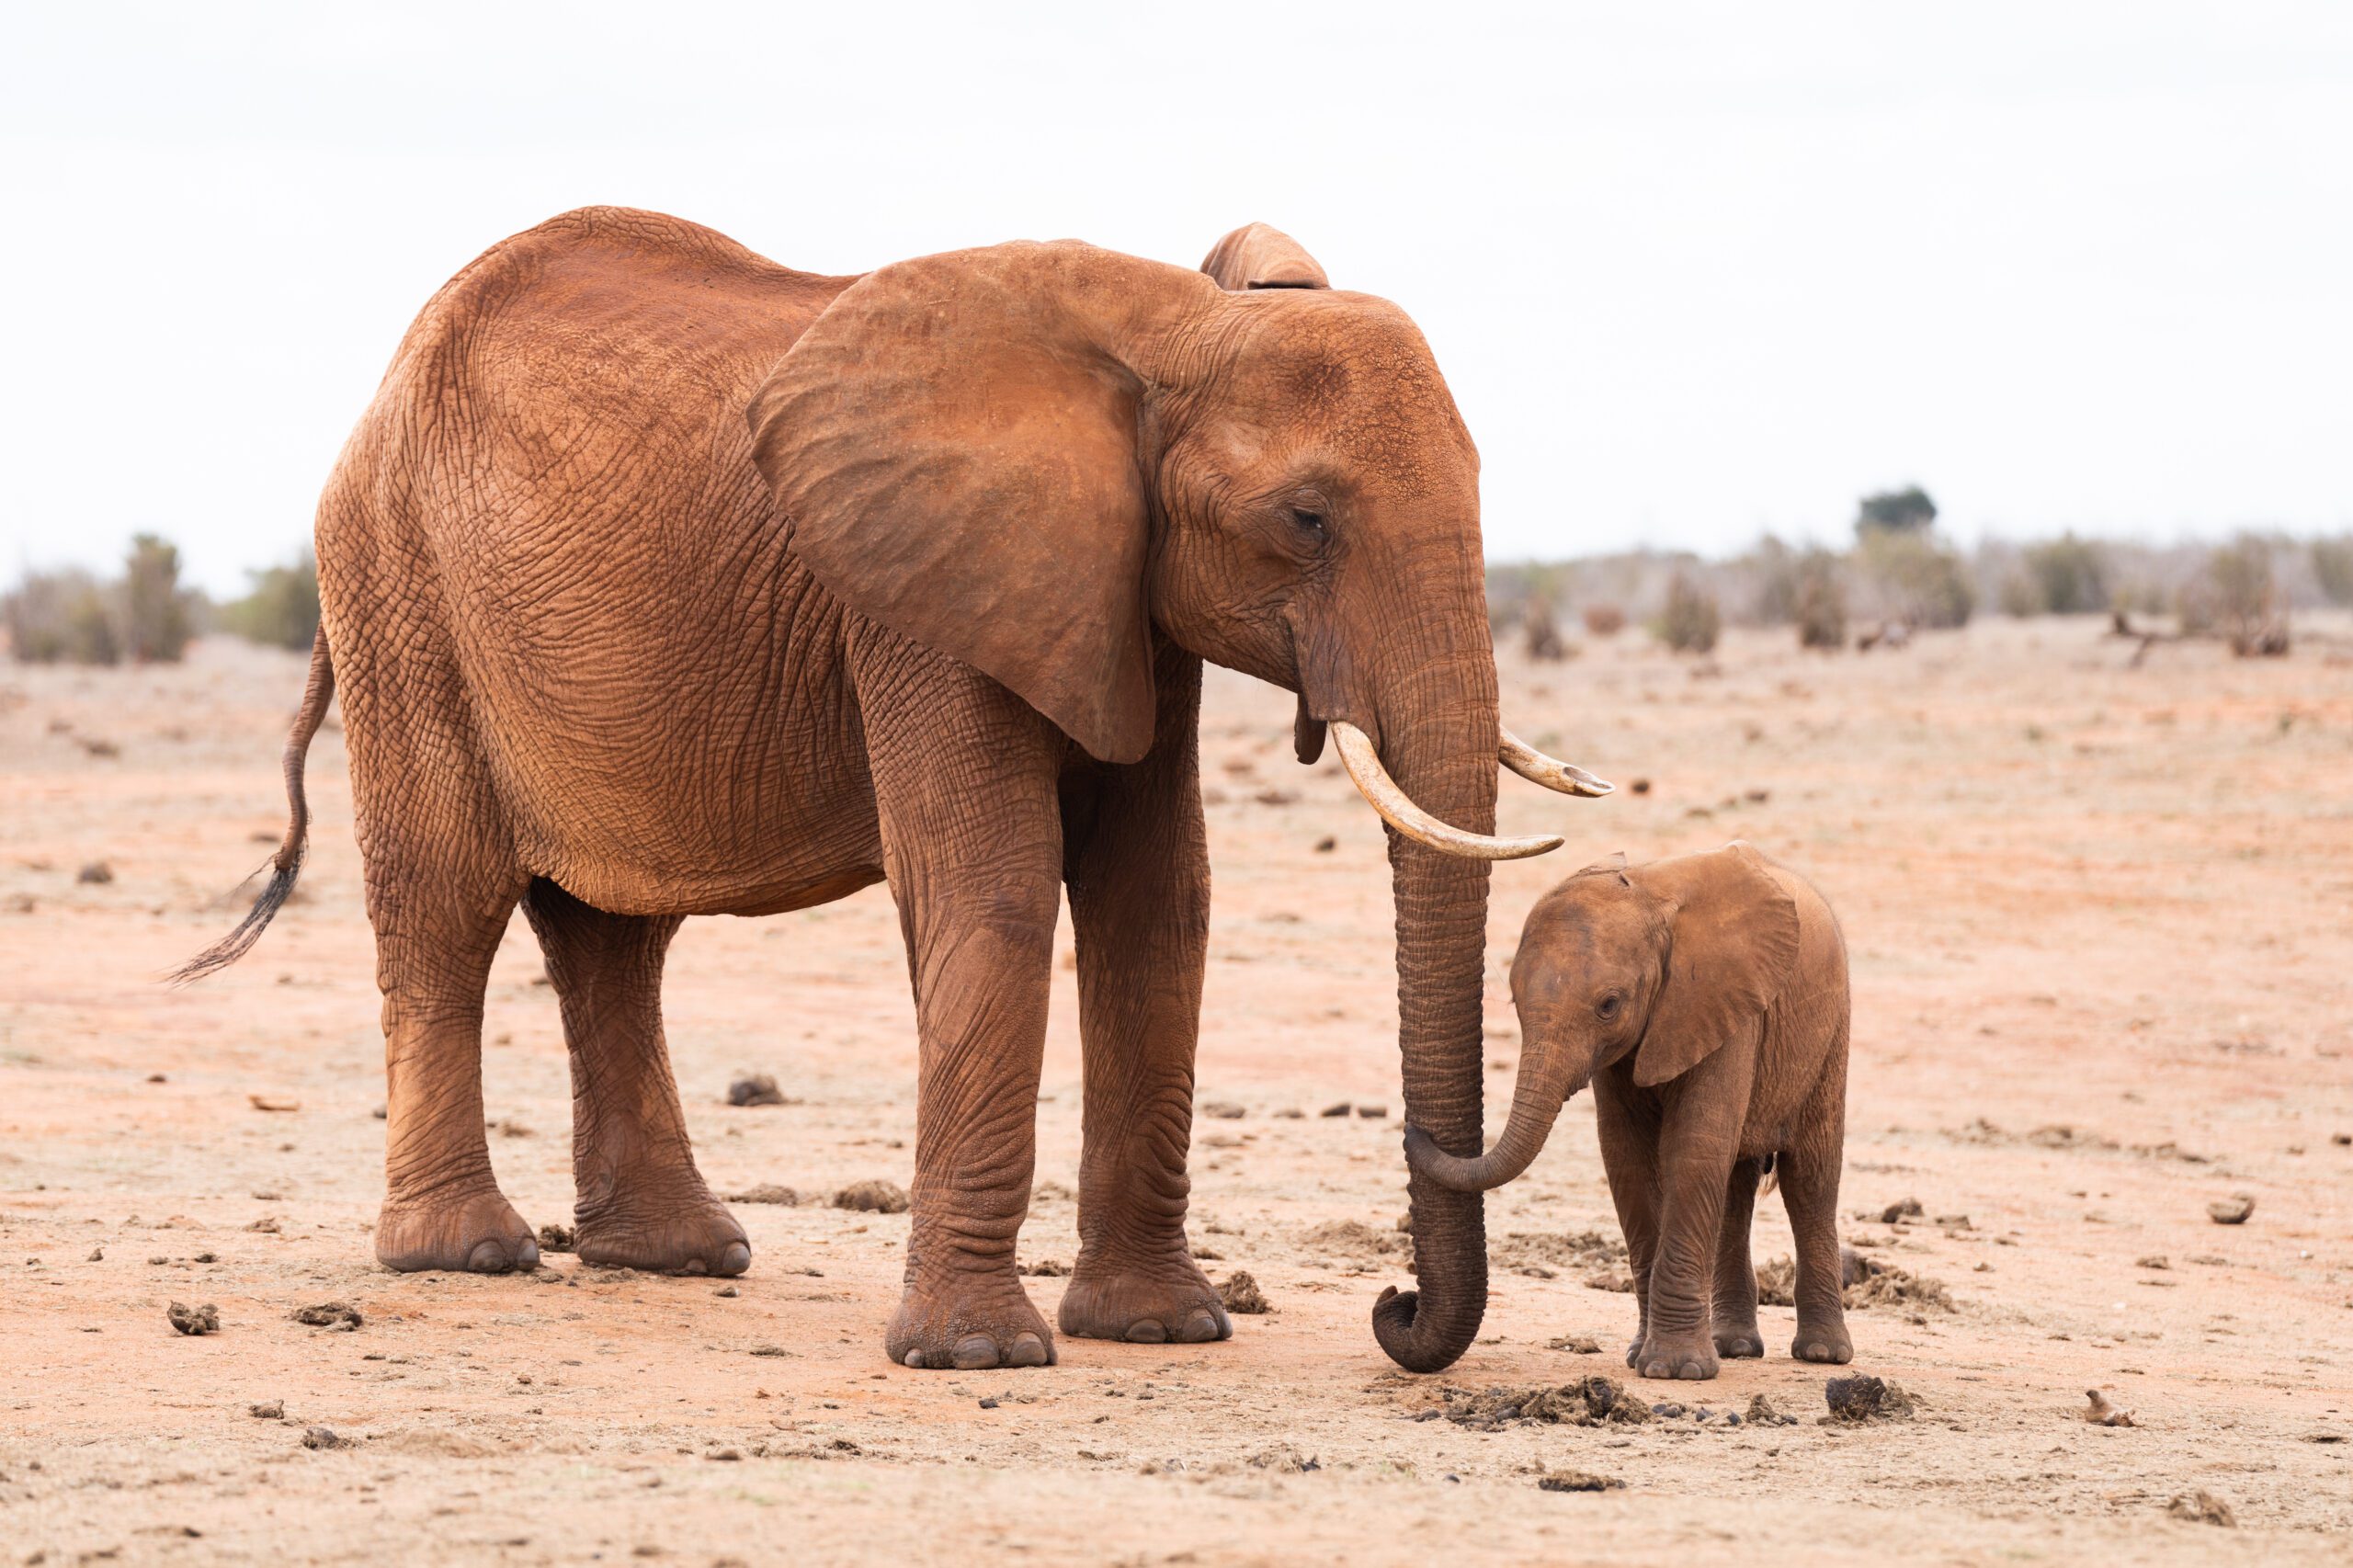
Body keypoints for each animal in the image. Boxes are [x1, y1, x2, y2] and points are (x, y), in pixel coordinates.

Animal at [178, 207, 1611, 1374]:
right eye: (1307, 519)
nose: (1393, 1308)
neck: (1166, 326)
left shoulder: (1123, 597)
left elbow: (1161, 900)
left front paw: (1164, 1329)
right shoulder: (920, 600)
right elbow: (996, 888)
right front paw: (979, 1355)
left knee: (612, 936)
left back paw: (677, 1255)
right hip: (398, 585)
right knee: (448, 905)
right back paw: (465, 1253)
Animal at [1405, 842, 1853, 1379]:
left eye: (1609, 1005)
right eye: (1514, 1001)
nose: (1416, 1132)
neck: (1650, 897)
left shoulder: (1720, 1001)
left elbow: (1694, 1147)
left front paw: (1677, 1371)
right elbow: (1627, 1159)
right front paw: (1643, 1357)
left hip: (1831, 1029)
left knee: (1809, 1179)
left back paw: (1823, 1355)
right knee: (1735, 1187)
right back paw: (1734, 1347)